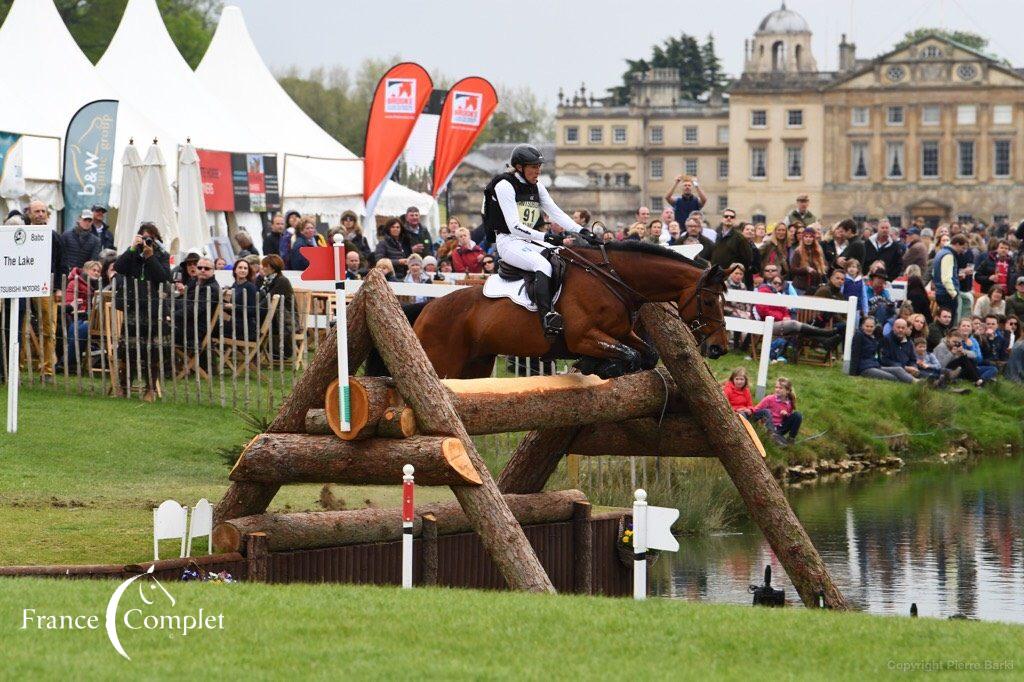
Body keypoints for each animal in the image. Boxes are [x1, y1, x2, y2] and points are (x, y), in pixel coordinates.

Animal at [407, 238, 729, 376]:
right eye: (709, 301)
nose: (720, 348)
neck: (612, 279)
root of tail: (427, 309)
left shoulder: (622, 333)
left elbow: (646, 354)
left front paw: (594, 365)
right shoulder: (583, 337)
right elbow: (629, 356)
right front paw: (597, 365)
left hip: (477, 365)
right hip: (442, 363)